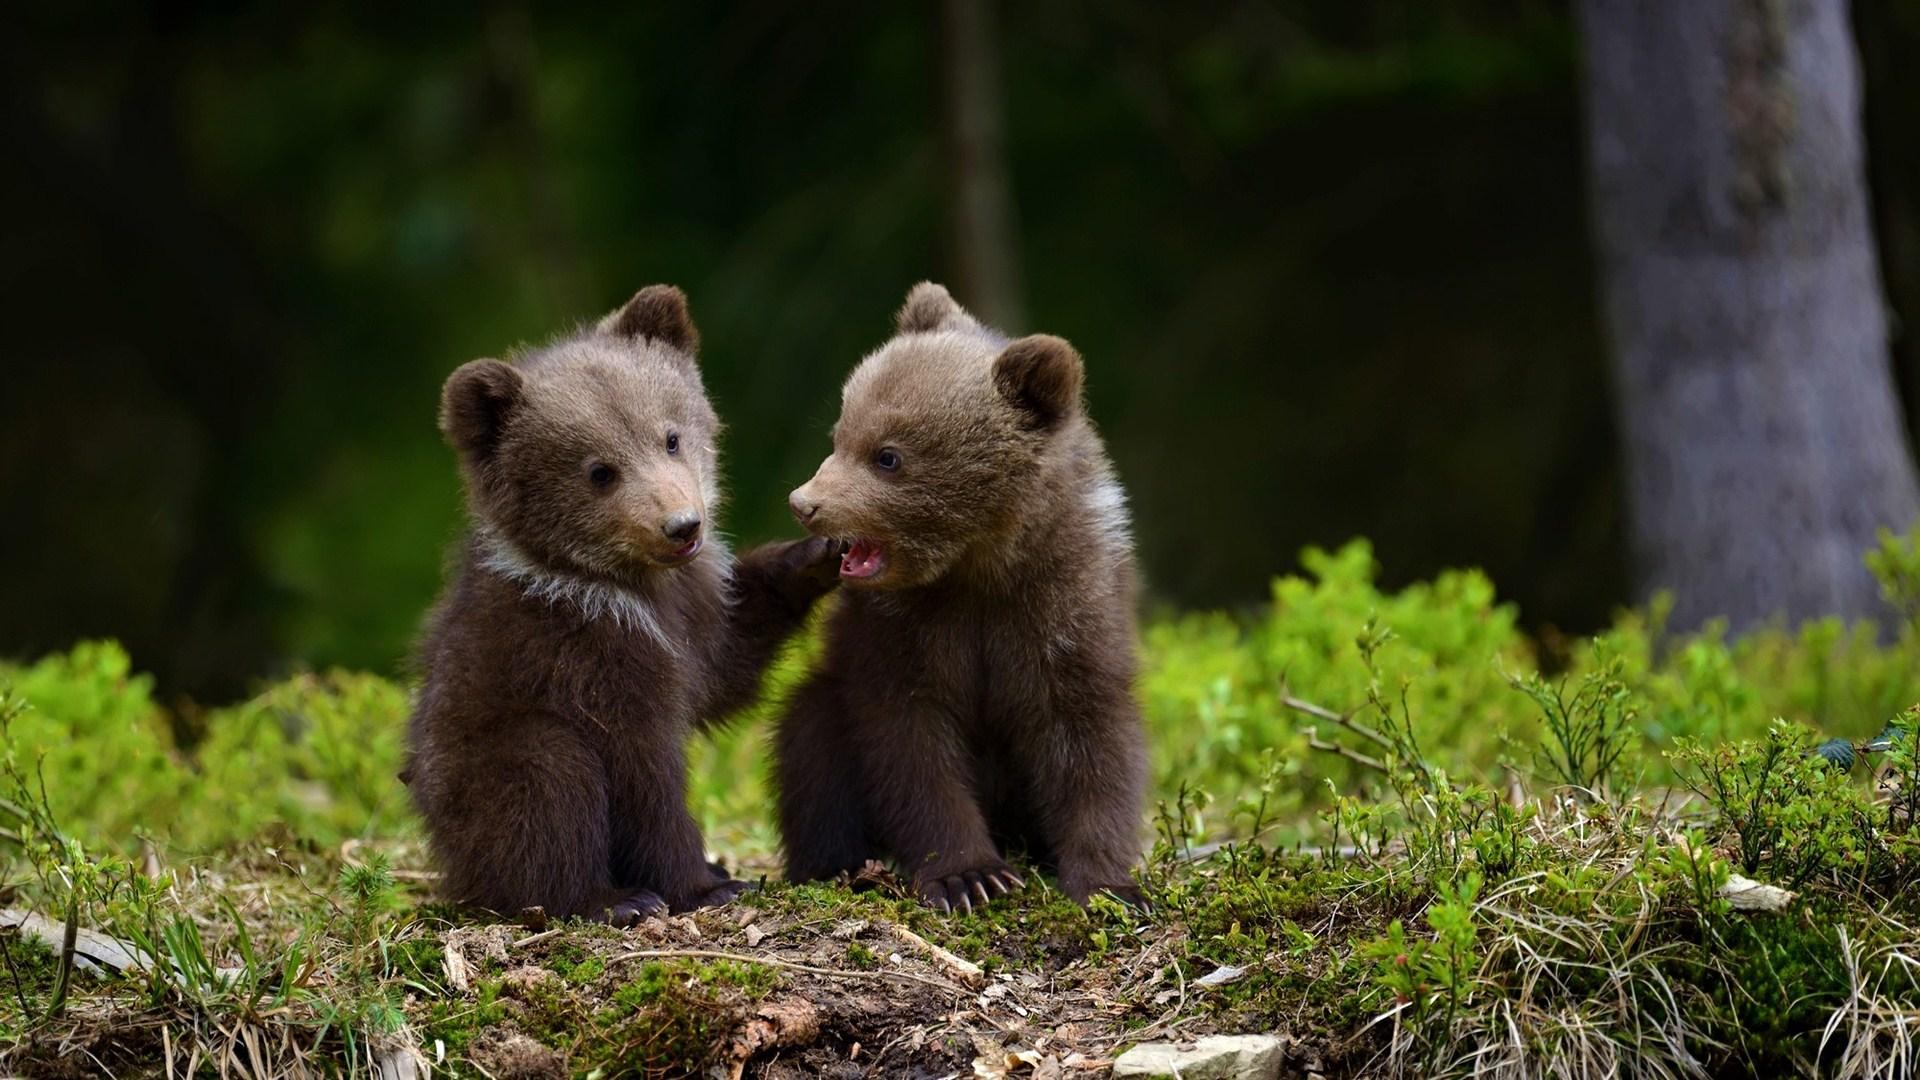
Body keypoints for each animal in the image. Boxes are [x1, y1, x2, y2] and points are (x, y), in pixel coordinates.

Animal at [406, 284, 841, 923]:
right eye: (599, 471)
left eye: (670, 436)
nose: (682, 526)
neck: (628, 587)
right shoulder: (588, 654)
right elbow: (643, 773)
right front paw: (706, 883)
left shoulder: (694, 612)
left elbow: (726, 665)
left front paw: (817, 553)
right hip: (483, 760)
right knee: (549, 782)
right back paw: (611, 898)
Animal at [774, 282, 1147, 912]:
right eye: (840, 434)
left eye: (888, 455)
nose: (805, 503)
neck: (978, 566)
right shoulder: (902, 630)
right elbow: (911, 745)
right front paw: (969, 876)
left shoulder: (1065, 607)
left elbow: (1090, 738)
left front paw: (1109, 883)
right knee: (810, 741)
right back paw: (837, 865)